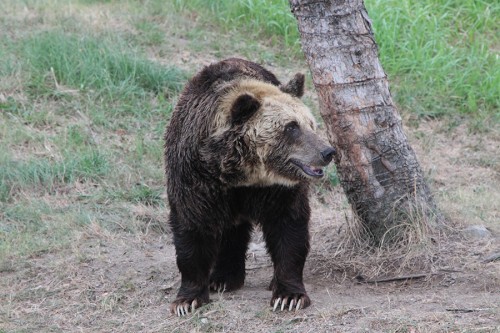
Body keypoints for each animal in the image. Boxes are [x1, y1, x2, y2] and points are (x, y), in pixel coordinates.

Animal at [165, 58, 336, 316]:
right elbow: (191, 227)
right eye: (291, 127)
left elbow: (289, 229)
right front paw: (187, 300)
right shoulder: (194, 178)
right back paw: (222, 278)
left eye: (311, 124)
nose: (327, 152)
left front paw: (288, 296)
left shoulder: (279, 190)